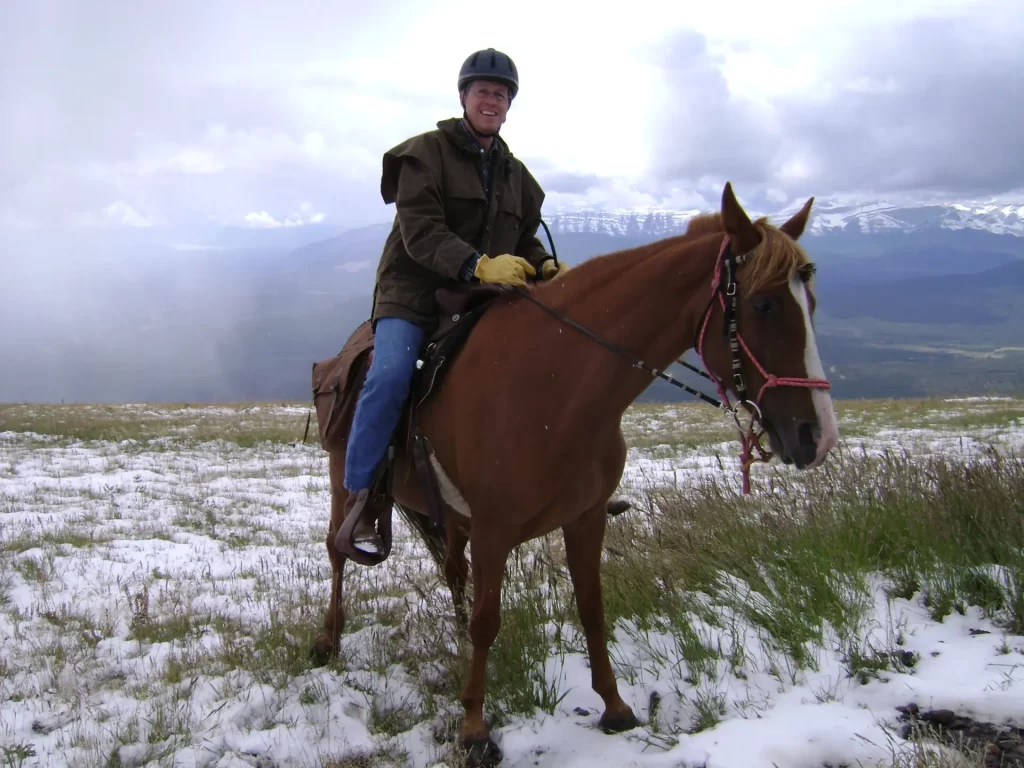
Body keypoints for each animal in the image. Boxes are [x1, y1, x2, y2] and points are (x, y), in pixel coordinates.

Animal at [311, 183, 839, 765]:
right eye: (763, 304)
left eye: (813, 304)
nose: (817, 436)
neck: (556, 385)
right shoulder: (494, 530)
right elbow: (488, 621)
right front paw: (474, 729)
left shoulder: (586, 519)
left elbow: (591, 608)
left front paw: (615, 706)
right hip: (345, 478)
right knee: (338, 550)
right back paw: (328, 640)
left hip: (450, 515)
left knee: (452, 572)